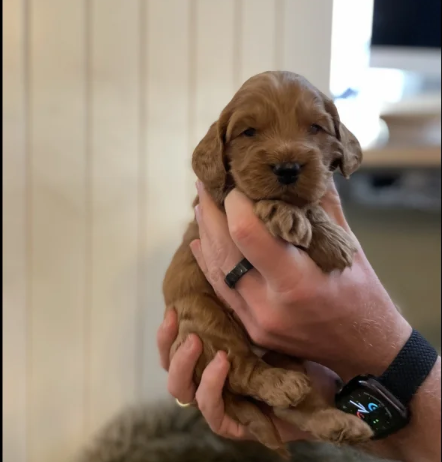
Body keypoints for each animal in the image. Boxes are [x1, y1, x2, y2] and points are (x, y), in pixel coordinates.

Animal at [162, 70, 372, 456]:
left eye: (315, 128)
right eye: (249, 132)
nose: (287, 169)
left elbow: (312, 199)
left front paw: (329, 238)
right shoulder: (216, 197)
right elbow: (248, 192)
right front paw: (286, 213)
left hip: (284, 349)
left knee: (292, 408)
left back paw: (339, 423)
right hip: (204, 319)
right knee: (241, 370)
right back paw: (280, 383)